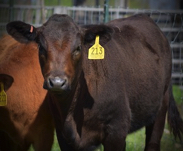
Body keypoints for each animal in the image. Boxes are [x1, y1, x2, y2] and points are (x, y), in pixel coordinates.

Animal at [5, 14, 183, 151]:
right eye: (41, 47)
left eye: (78, 48)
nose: (56, 82)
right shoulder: (63, 135)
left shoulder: (116, 130)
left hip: (161, 106)